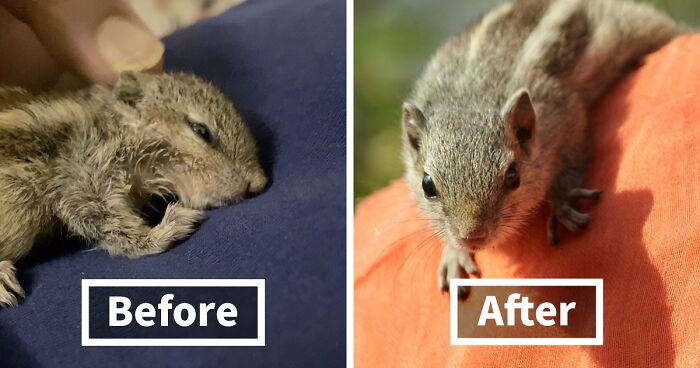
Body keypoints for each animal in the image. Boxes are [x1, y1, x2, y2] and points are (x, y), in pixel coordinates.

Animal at [0, 71, 266, 304]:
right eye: (200, 130)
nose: (259, 182)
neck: (112, 124)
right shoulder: (83, 171)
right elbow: (100, 218)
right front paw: (160, 233)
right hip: (23, 200)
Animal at [402, 0, 680, 300]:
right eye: (427, 185)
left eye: (513, 176)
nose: (472, 237)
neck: (471, 97)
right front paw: (453, 254)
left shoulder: (565, 112)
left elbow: (570, 159)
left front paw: (561, 203)